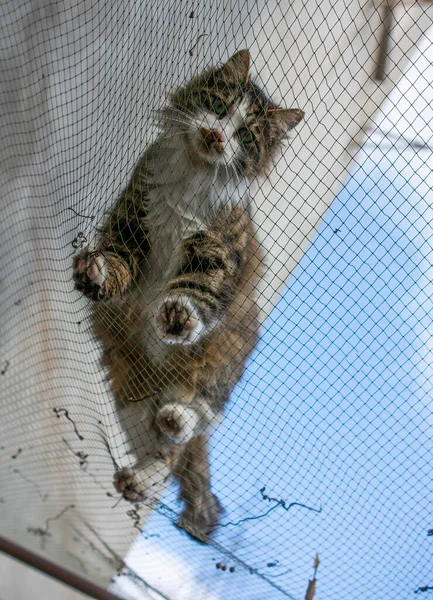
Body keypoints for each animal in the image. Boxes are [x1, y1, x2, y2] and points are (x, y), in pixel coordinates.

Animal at [73, 49, 304, 540]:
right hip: (129, 389)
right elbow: (118, 262)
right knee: (162, 445)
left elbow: (196, 293)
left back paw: (174, 423)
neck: (190, 182)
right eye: (218, 107)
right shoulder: (133, 224)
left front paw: (178, 315)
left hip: (217, 364)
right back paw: (140, 471)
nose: (216, 135)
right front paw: (97, 273)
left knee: (188, 431)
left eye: (245, 135)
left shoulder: (218, 252)